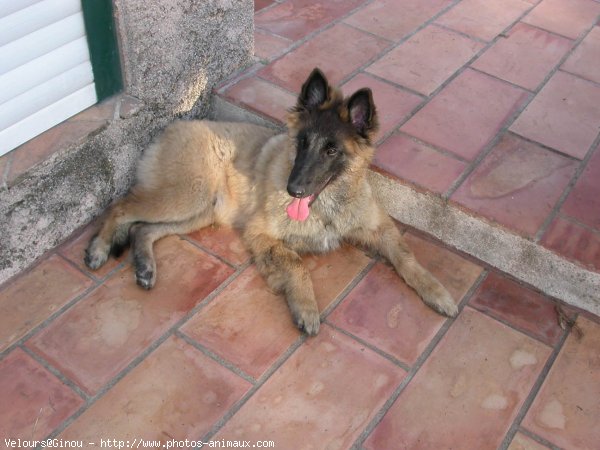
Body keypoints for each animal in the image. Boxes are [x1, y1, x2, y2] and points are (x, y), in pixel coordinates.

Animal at [84, 67, 458, 334]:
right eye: (302, 142)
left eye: (332, 150)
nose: (294, 190)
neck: (327, 207)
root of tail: (169, 128)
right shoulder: (261, 233)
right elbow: (296, 263)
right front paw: (306, 307)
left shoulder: (381, 228)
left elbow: (407, 257)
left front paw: (437, 291)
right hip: (187, 196)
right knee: (121, 208)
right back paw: (99, 248)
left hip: (198, 211)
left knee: (142, 229)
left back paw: (145, 266)